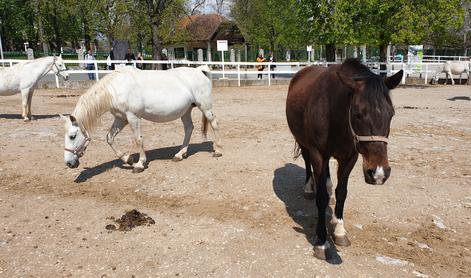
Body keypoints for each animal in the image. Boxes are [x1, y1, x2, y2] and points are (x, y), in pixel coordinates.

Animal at [61, 66, 222, 173]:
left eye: (72, 136)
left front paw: (139, 164)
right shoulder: (121, 118)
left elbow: (138, 140)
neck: (116, 88)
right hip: (186, 111)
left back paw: (218, 151)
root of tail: (200, 70)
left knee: (214, 124)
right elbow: (109, 138)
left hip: (205, 107)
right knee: (189, 128)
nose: (69, 163)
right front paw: (128, 159)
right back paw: (179, 154)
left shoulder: (133, 117)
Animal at [286, 59, 404, 260]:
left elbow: (342, 192)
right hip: (303, 142)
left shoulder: (350, 158)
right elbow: (321, 198)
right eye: (357, 113)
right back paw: (309, 187)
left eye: (391, 113)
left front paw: (339, 229)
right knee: (307, 162)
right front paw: (322, 242)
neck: (333, 114)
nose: (379, 173)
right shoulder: (318, 154)